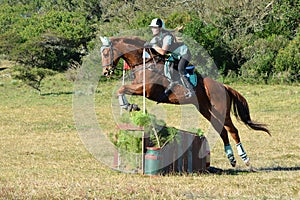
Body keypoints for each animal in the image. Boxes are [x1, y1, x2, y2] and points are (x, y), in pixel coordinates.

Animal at [100, 36, 270, 167]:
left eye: (106, 52)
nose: (106, 72)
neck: (145, 63)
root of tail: (223, 86)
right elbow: (121, 89)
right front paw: (129, 105)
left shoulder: (146, 90)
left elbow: (121, 89)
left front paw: (129, 105)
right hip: (206, 110)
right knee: (221, 130)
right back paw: (231, 158)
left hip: (221, 110)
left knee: (233, 130)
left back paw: (245, 159)